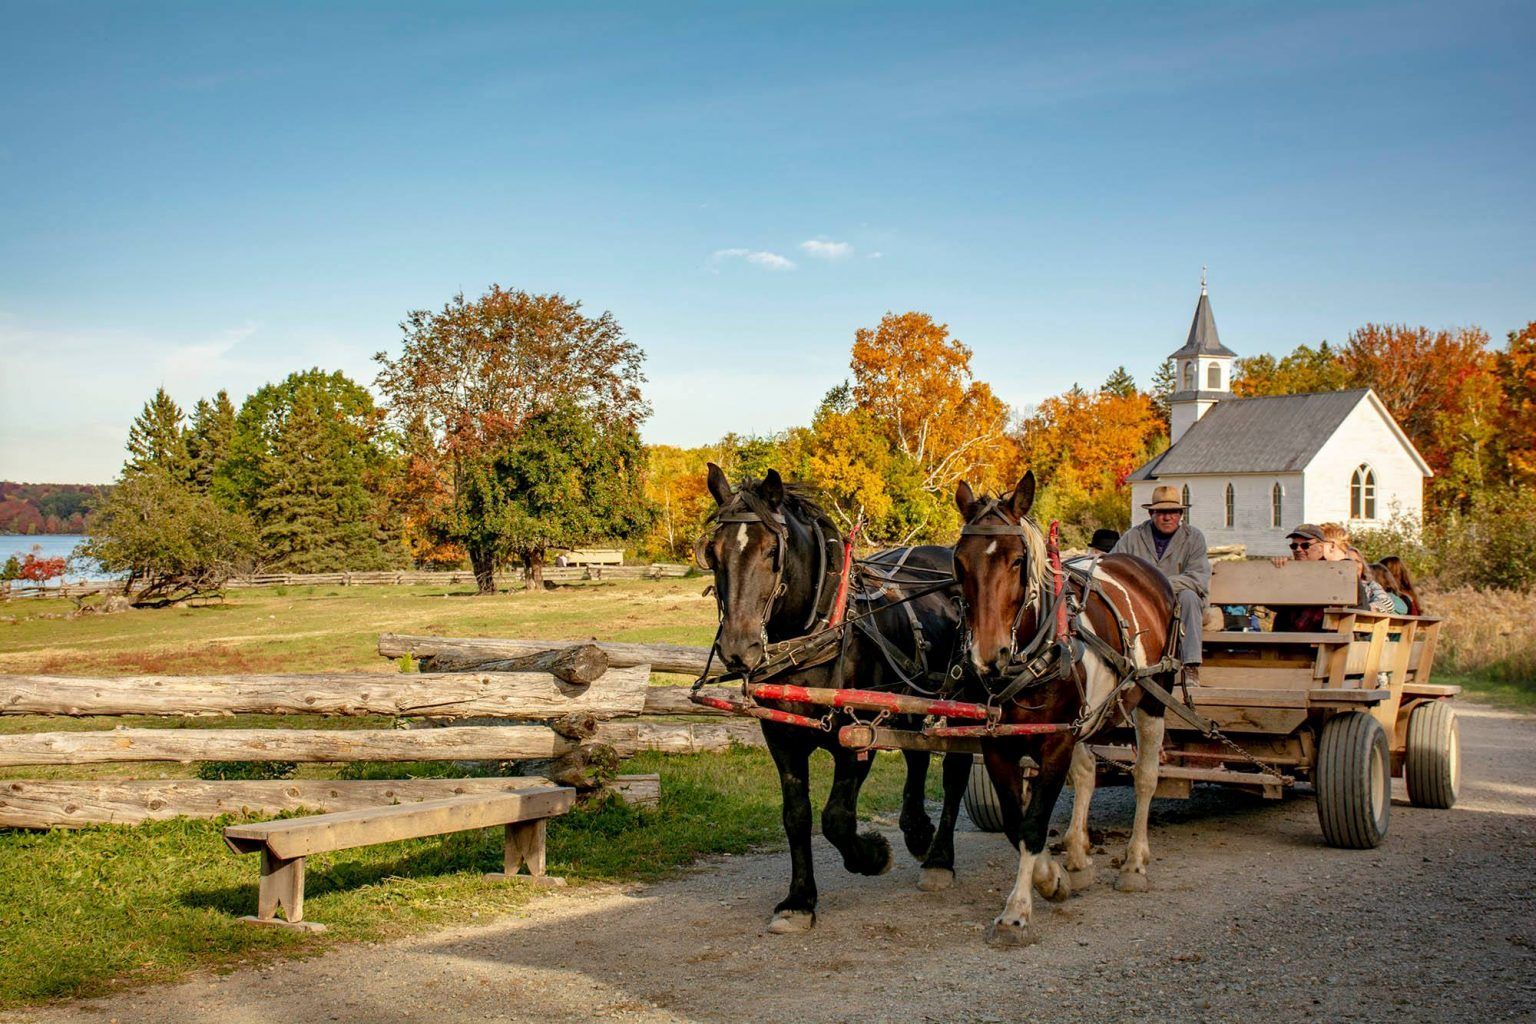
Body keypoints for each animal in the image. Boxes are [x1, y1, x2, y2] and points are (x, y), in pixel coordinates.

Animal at [698, 463, 974, 934]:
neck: (819, 635)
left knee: (955, 770)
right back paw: (917, 830)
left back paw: (939, 858)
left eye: (772, 551)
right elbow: (797, 816)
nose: (738, 649)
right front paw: (799, 901)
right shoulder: (781, 738)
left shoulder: (857, 736)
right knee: (918, 755)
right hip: (909, 704)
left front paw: (873, 855)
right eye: (713, 553)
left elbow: (837, 818)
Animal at [952, 471, 1179, 946]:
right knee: (1089, 774)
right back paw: (1077, 855)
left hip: (1153, 699)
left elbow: (1035, 821)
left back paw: (1134, 862)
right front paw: (1053, 876)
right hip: (1085, 718)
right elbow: (1015, 822)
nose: (987, 656)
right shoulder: (996, 746)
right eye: (959, 563)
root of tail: (1139, 568)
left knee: (1146, 778)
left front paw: (1018, 911)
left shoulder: (1056, 741)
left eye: (1018, 560)